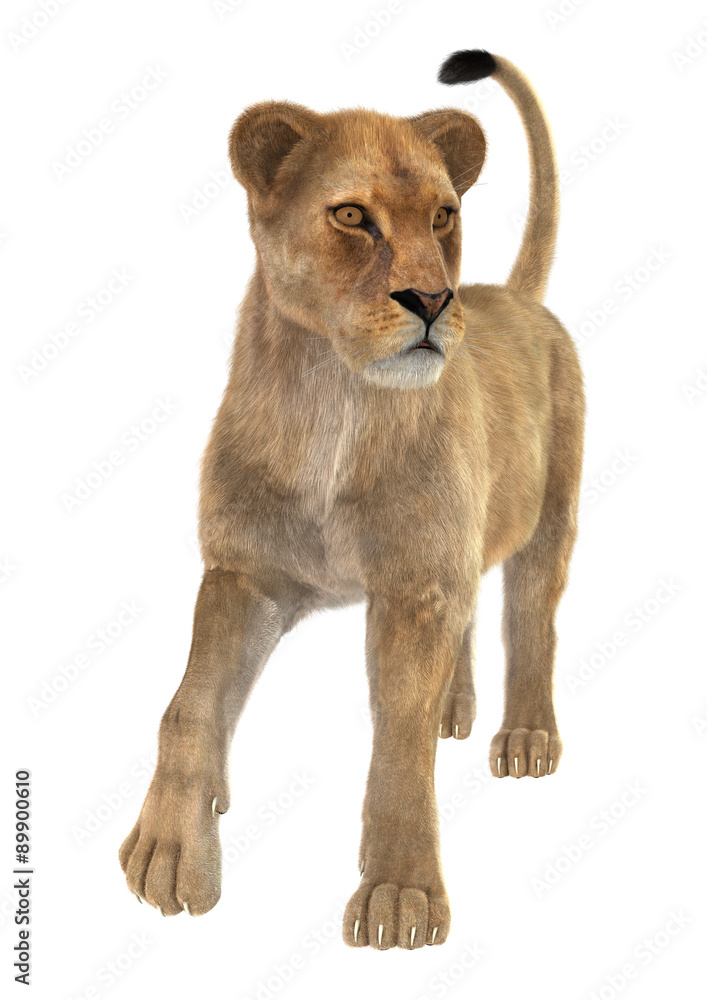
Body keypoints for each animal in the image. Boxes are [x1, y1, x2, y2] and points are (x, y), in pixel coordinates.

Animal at [119, 49, 585, 950]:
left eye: (442, 217)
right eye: (350, 216)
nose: (433, 300)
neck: (331, 401)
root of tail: (517, 297)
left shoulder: (411, 588)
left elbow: (396, 743)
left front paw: (399, 896)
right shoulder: (244, 572)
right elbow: (188, 708)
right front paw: (167, 854)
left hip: (551, 517)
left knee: (530, 618)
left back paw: (524, 738)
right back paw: (454, 707)